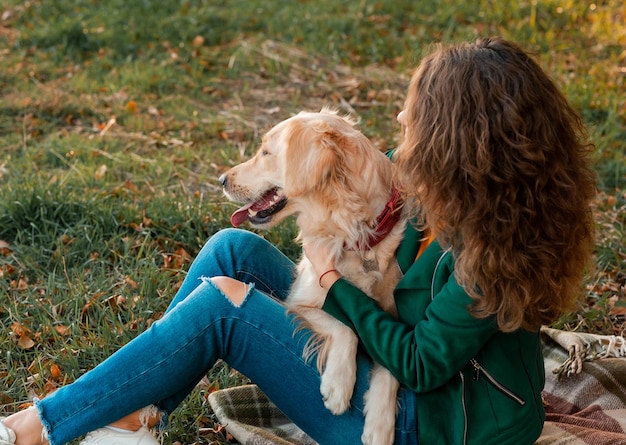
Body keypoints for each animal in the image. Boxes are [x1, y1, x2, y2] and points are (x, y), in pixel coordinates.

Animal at [219, 107, 404, 444]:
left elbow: (392, 366)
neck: (352, 233)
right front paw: (338, 385)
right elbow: (346, 328)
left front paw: (380, 423)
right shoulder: (300, 300)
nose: (221, 180)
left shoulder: (397, 322)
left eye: (266, 153)